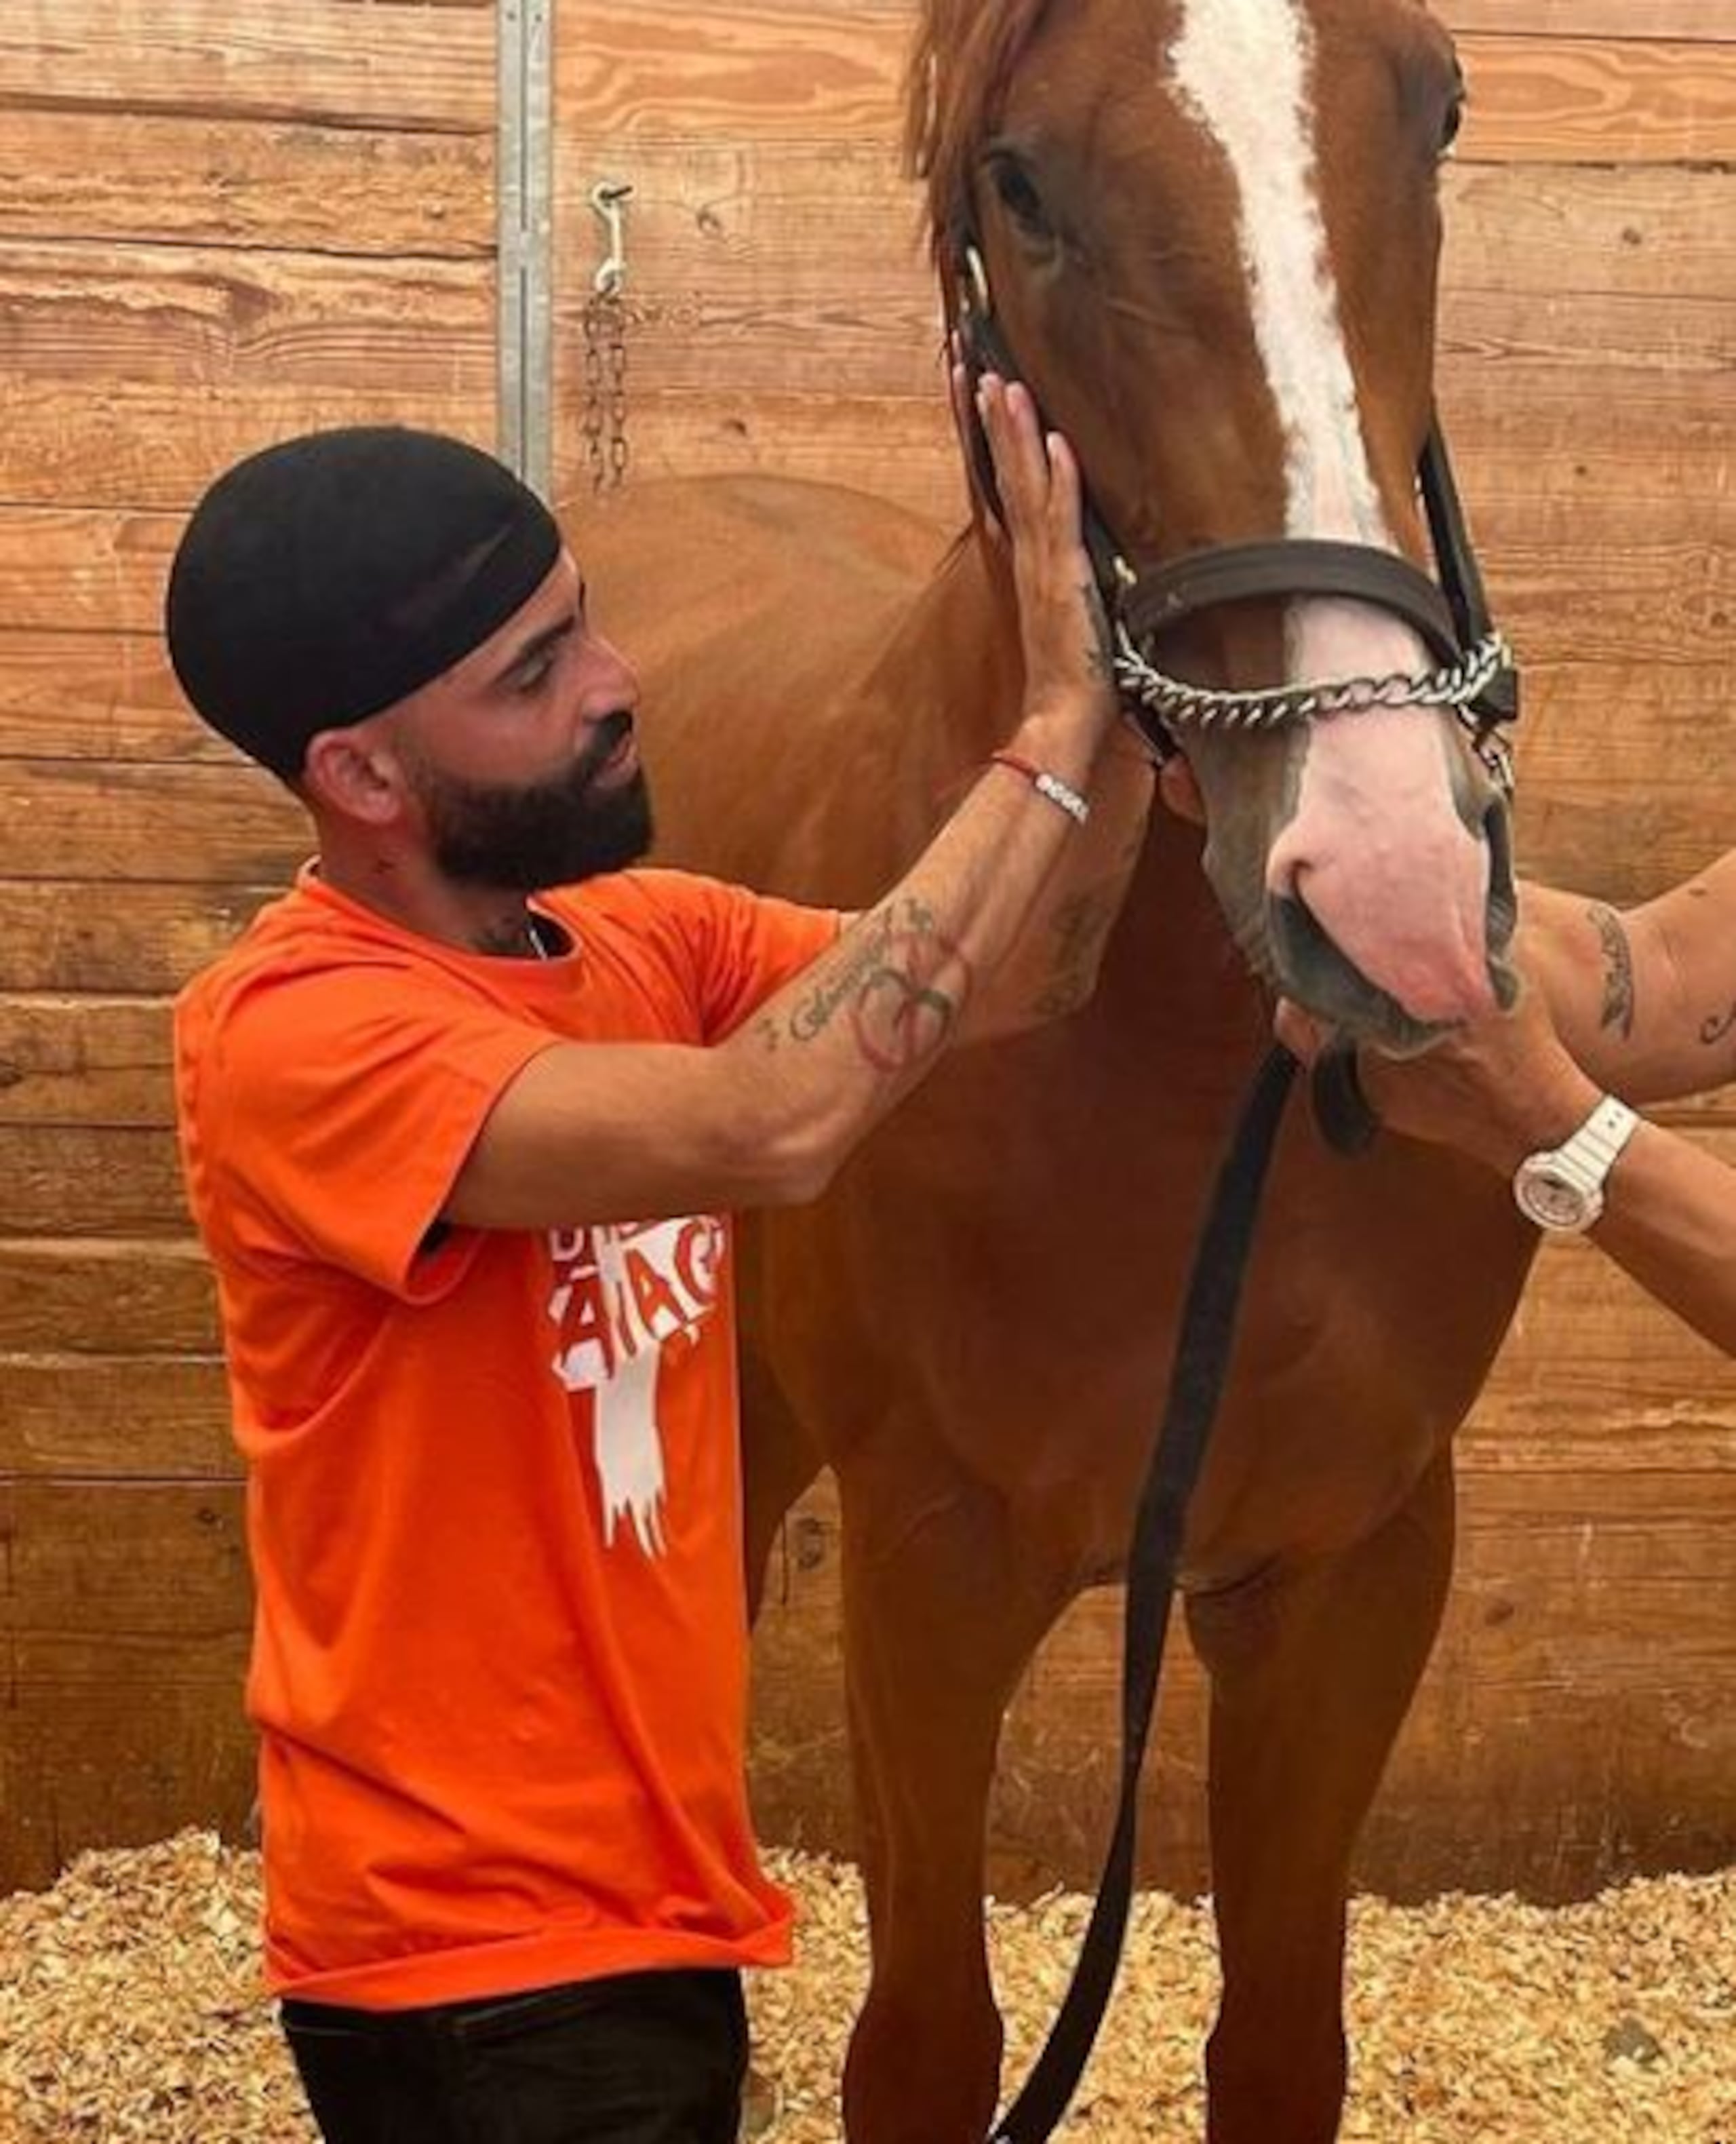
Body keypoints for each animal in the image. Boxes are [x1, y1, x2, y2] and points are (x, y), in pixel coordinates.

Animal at [578, 8, 1526, 2135]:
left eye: (1435, 108)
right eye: (1020, 180)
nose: (1378, 876)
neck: (1167, 1064)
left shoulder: (1348, 1570)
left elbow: (1282, 2041)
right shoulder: (934, 1567)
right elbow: (930, 2041)